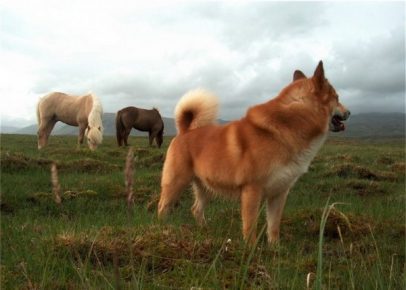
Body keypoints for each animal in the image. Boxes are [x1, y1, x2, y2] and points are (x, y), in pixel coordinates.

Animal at [157, 61, 350, 245]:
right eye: (337, 98)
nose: (348, 112)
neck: (291, 123)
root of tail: (185, 131)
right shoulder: (252, 190)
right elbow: (250, 226)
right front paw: (250, 249)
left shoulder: (279, 193)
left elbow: (273, 225)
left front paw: (274, 248)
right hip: (176, 182)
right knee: (163, 207)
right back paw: (163, 229)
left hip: (206, 186)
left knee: (196, 209)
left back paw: (204, 230)